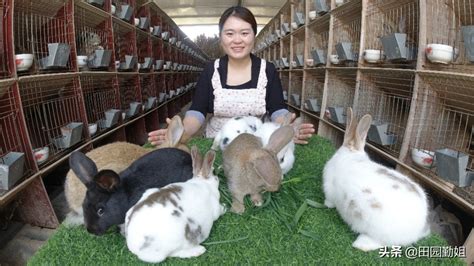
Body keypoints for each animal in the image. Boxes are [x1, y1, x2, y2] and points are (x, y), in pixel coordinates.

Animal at [322, 107, 430, 250]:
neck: (351, 151)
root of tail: (415, 232)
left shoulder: (329, 190)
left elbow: (330, 201)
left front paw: (326, 204)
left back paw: (360, 243)